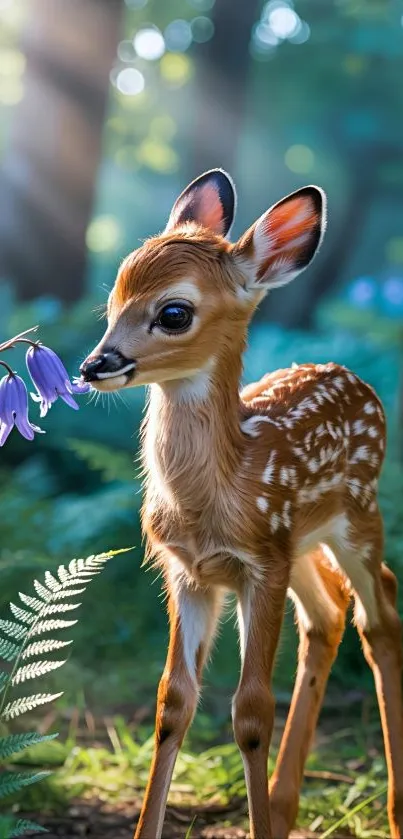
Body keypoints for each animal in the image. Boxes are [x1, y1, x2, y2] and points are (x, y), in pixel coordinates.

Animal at [80, 170, 403, 839]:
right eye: (113, 302)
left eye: (174, 312)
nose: (95, 364)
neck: (215, 497)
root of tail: (351, 376)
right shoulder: (190, 571)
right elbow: (172, 703)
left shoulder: (260, 564)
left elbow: (252, 712)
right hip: (299, 545)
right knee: (327, 615)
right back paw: (281, 807)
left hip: (356, 517)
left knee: (378, 613)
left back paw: (392, 811)